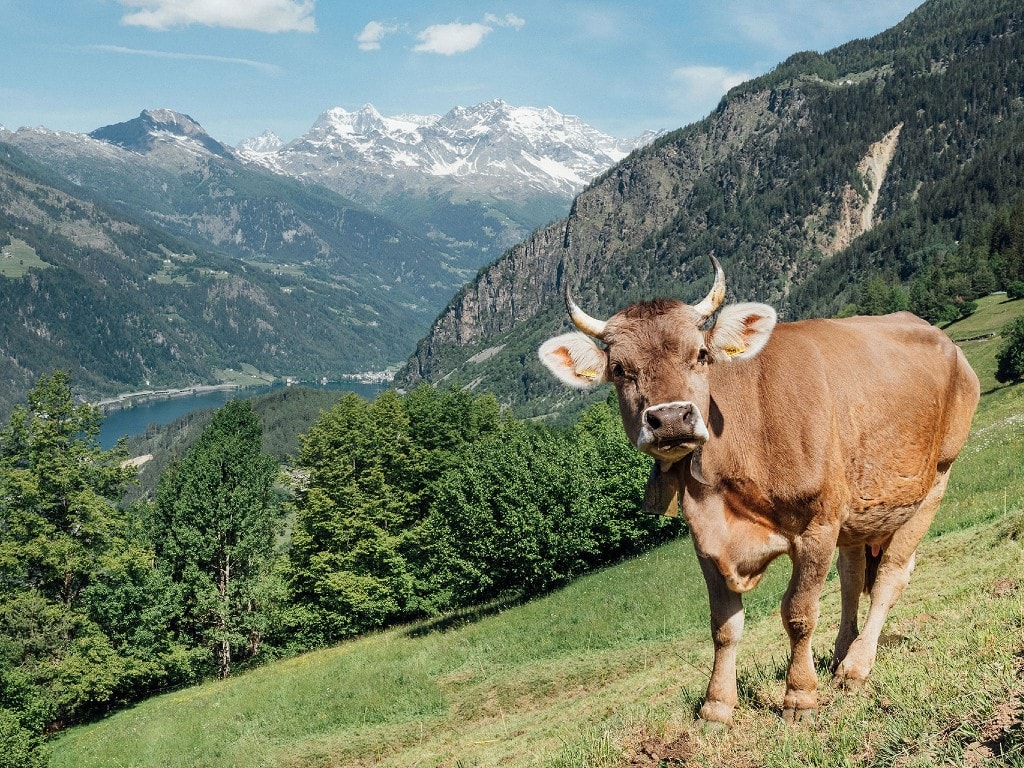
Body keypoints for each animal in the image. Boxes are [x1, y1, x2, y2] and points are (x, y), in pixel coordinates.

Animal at [536, 259, 974, 729]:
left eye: (701, 354)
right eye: (619, 368)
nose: (670, 419)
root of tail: (935, 332)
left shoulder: (818, 524)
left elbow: (799, 613)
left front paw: (800, 696)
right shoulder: (706, 539)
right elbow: (724, 624)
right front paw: (716, 706)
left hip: (935, 480)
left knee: (890, 576)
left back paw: (856, 667)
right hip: (860, 508)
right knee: (853, 576)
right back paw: (841, 655)